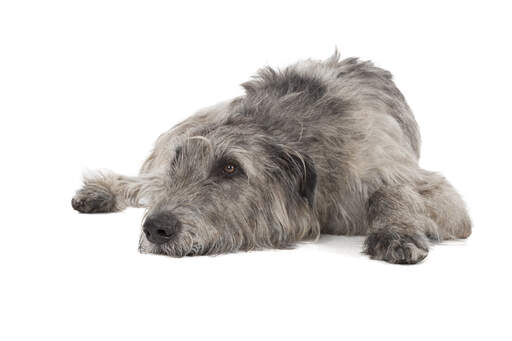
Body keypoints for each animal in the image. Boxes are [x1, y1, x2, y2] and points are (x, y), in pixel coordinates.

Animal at [72, 51, 472, 262]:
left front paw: (395, 231)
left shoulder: (422, 186)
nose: (157, 228)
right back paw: (100, 192)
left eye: (230, 167)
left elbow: (394, 190)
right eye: (178, 164)